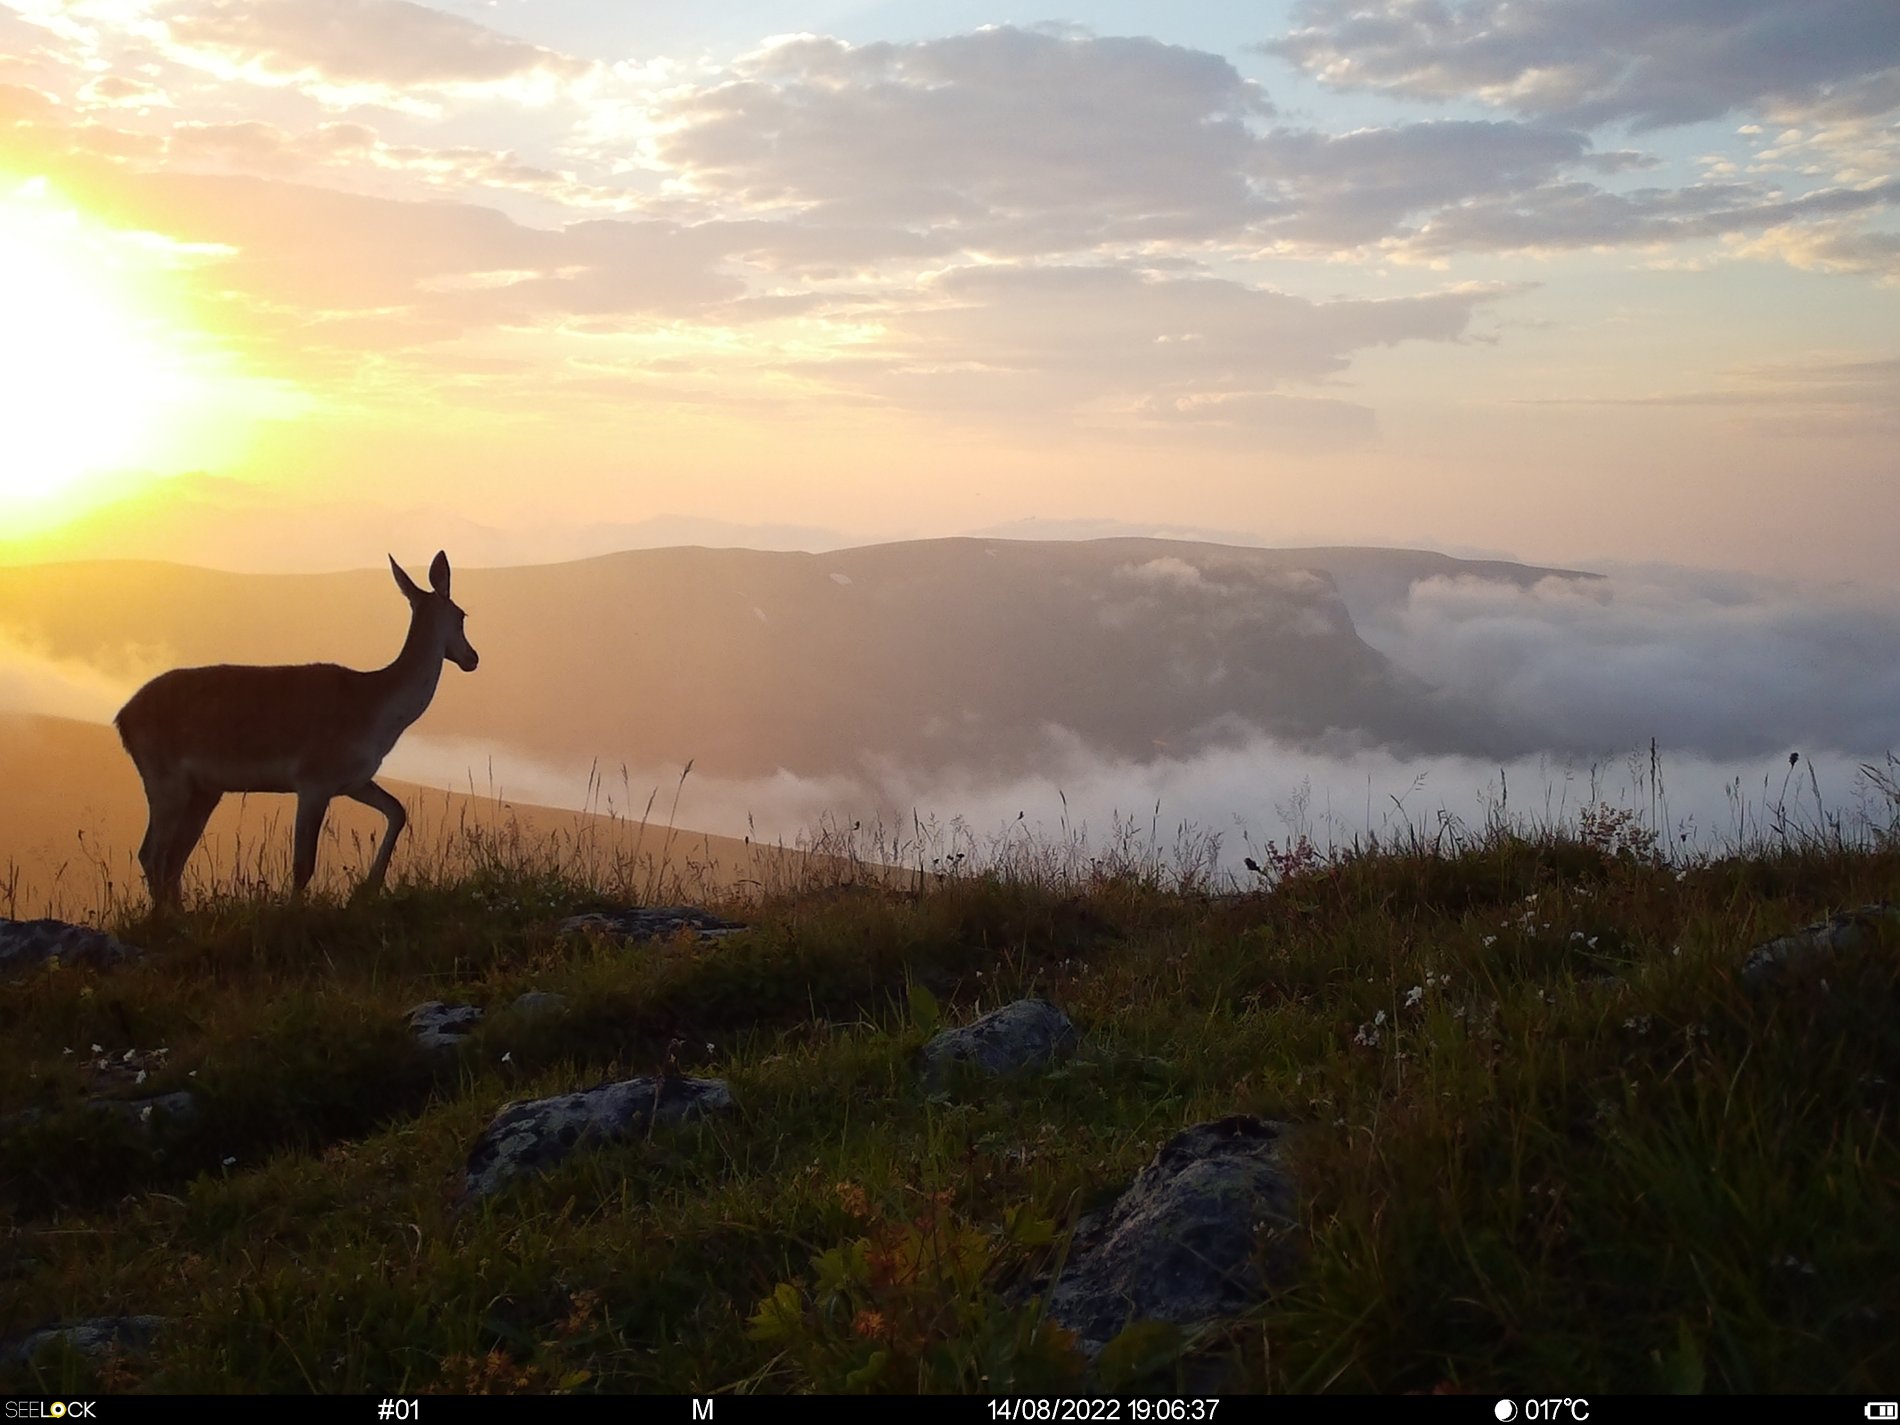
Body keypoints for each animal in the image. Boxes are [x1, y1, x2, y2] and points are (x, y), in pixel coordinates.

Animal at [114, 551, 478, 908]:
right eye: (462, 615)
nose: (472, 657)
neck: (375, 709)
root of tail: (123, 718)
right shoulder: (313, 780)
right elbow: (303, 864)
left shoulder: (353, 780)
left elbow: (397, 811)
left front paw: (368, 888)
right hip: (166, 781)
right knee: (152, 854)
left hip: (204, 791)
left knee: (174, 859)